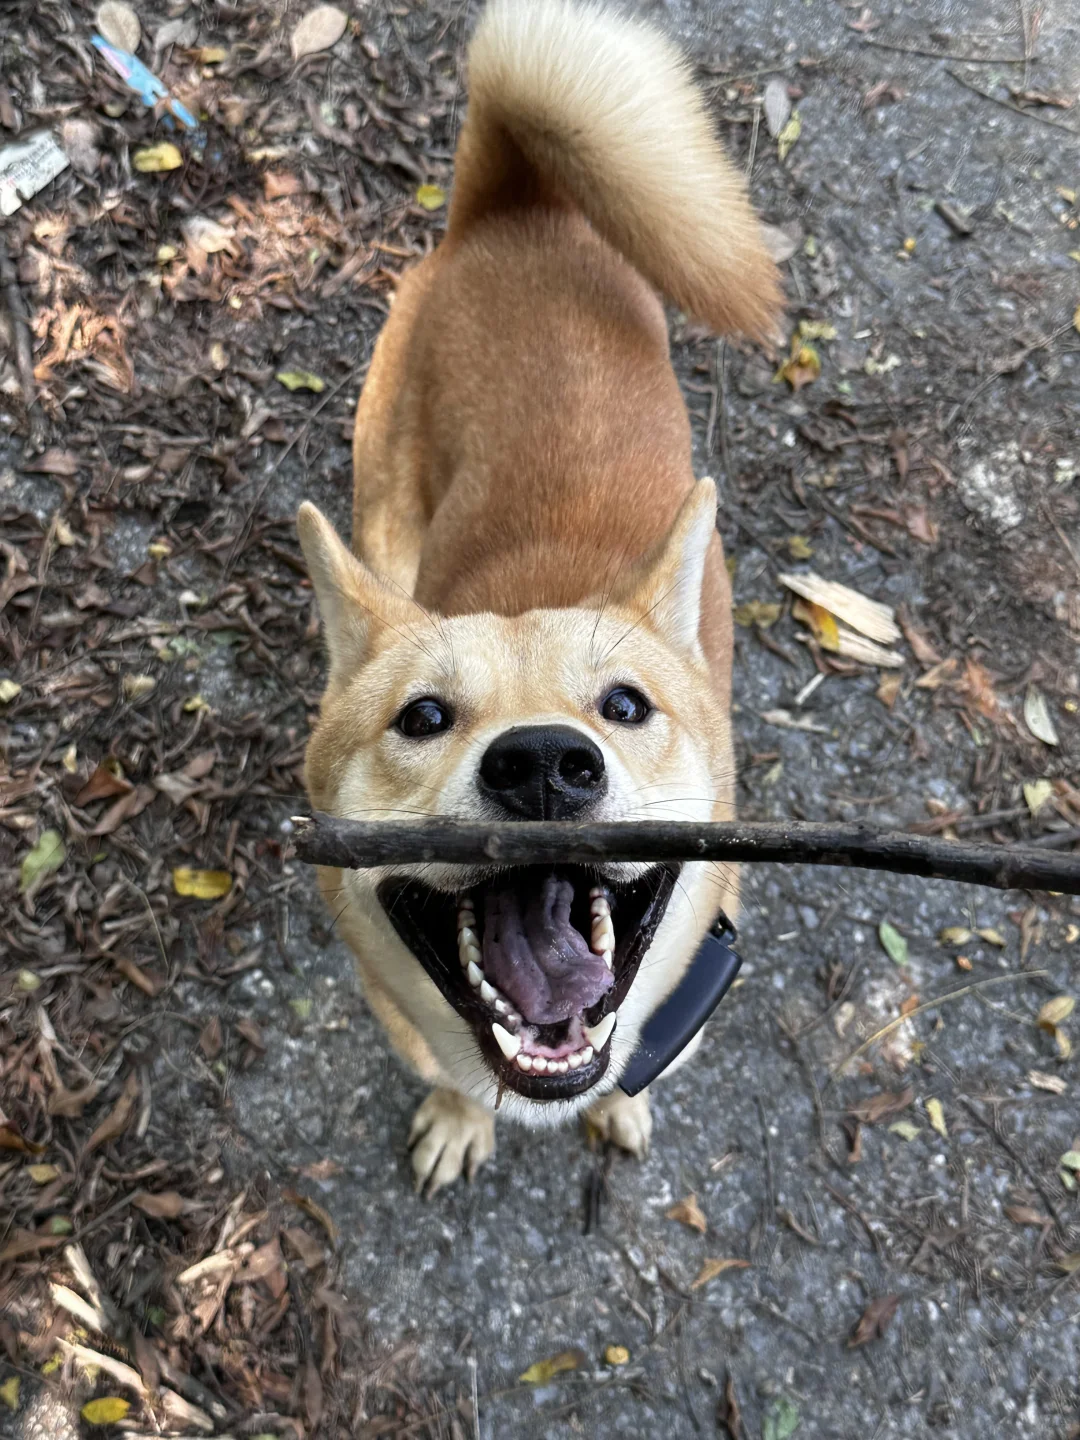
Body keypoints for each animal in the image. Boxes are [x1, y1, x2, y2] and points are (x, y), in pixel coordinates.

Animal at [300, 0, 783, 1192]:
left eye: (625, 706)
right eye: (423, 716)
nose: (543, 767)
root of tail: (517, 206)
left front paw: (618, 1110)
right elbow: (447, 1076)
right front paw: (459, 1116)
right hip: (385, 515)